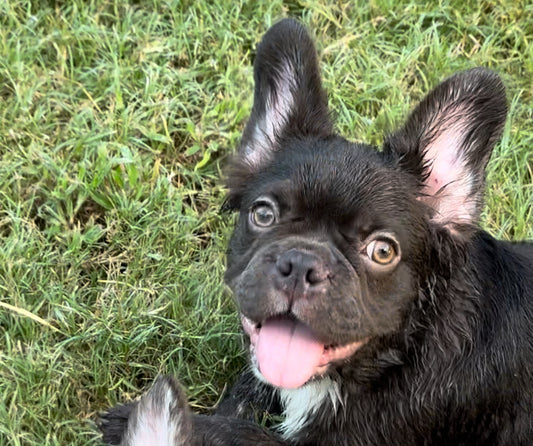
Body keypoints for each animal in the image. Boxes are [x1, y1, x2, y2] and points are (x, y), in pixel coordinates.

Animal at [100, 18, 532, 446]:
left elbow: (247, 434)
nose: (301, 263)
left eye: (383, 252)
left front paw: (142, 421)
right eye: (263, 214)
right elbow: (247, 392)